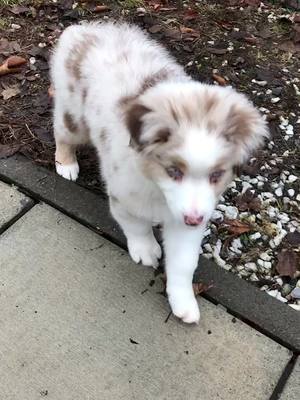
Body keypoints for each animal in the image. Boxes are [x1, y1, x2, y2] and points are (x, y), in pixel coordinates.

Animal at [50, 21, 268, 324]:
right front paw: (145, 251)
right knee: (61, 132)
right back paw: (66, 164)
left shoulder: (187, 221)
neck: (156, 189)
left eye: (216, 175)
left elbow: (184, 263)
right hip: (73, 115)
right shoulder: (124, 198)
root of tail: (83, 30)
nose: (194, 219)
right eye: (173, 170)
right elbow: (136, 226)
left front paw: (183, 302)